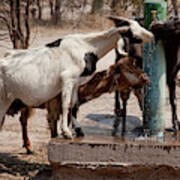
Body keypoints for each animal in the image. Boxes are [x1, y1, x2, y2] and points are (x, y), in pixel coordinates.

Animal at [0, 16, 154, 139]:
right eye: (134, 34)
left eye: (139, 25)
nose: (152, 35)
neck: (86, 47)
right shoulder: (67, 79)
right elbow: (66, 105)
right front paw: (66, 132)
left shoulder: (76, 83)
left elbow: (73, 105)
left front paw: (78, 130)